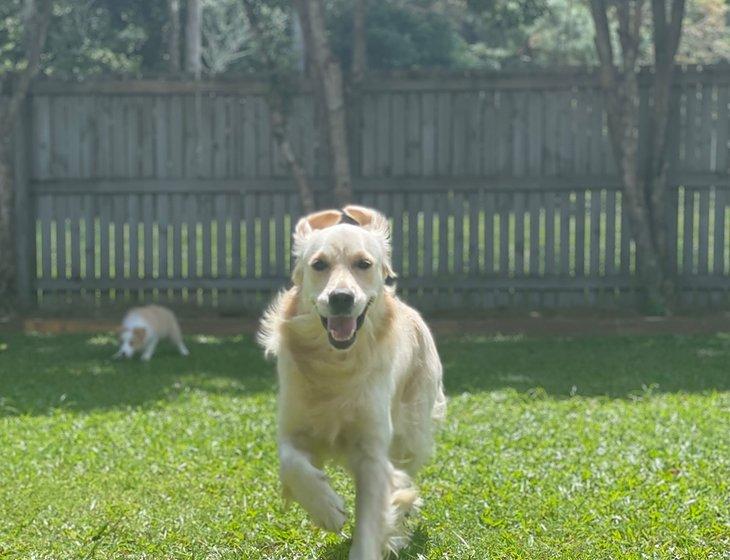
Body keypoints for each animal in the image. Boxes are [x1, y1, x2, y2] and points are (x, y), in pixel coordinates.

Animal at [258, 207, 446, 560]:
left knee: (403, 469)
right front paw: (326, 507)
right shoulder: (292, 428)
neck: (337, 363)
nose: (342, 298)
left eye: (364, 264)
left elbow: (372, 516)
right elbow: (290, 464)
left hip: (412, 431)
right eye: (319, 264)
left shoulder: (372, 449)